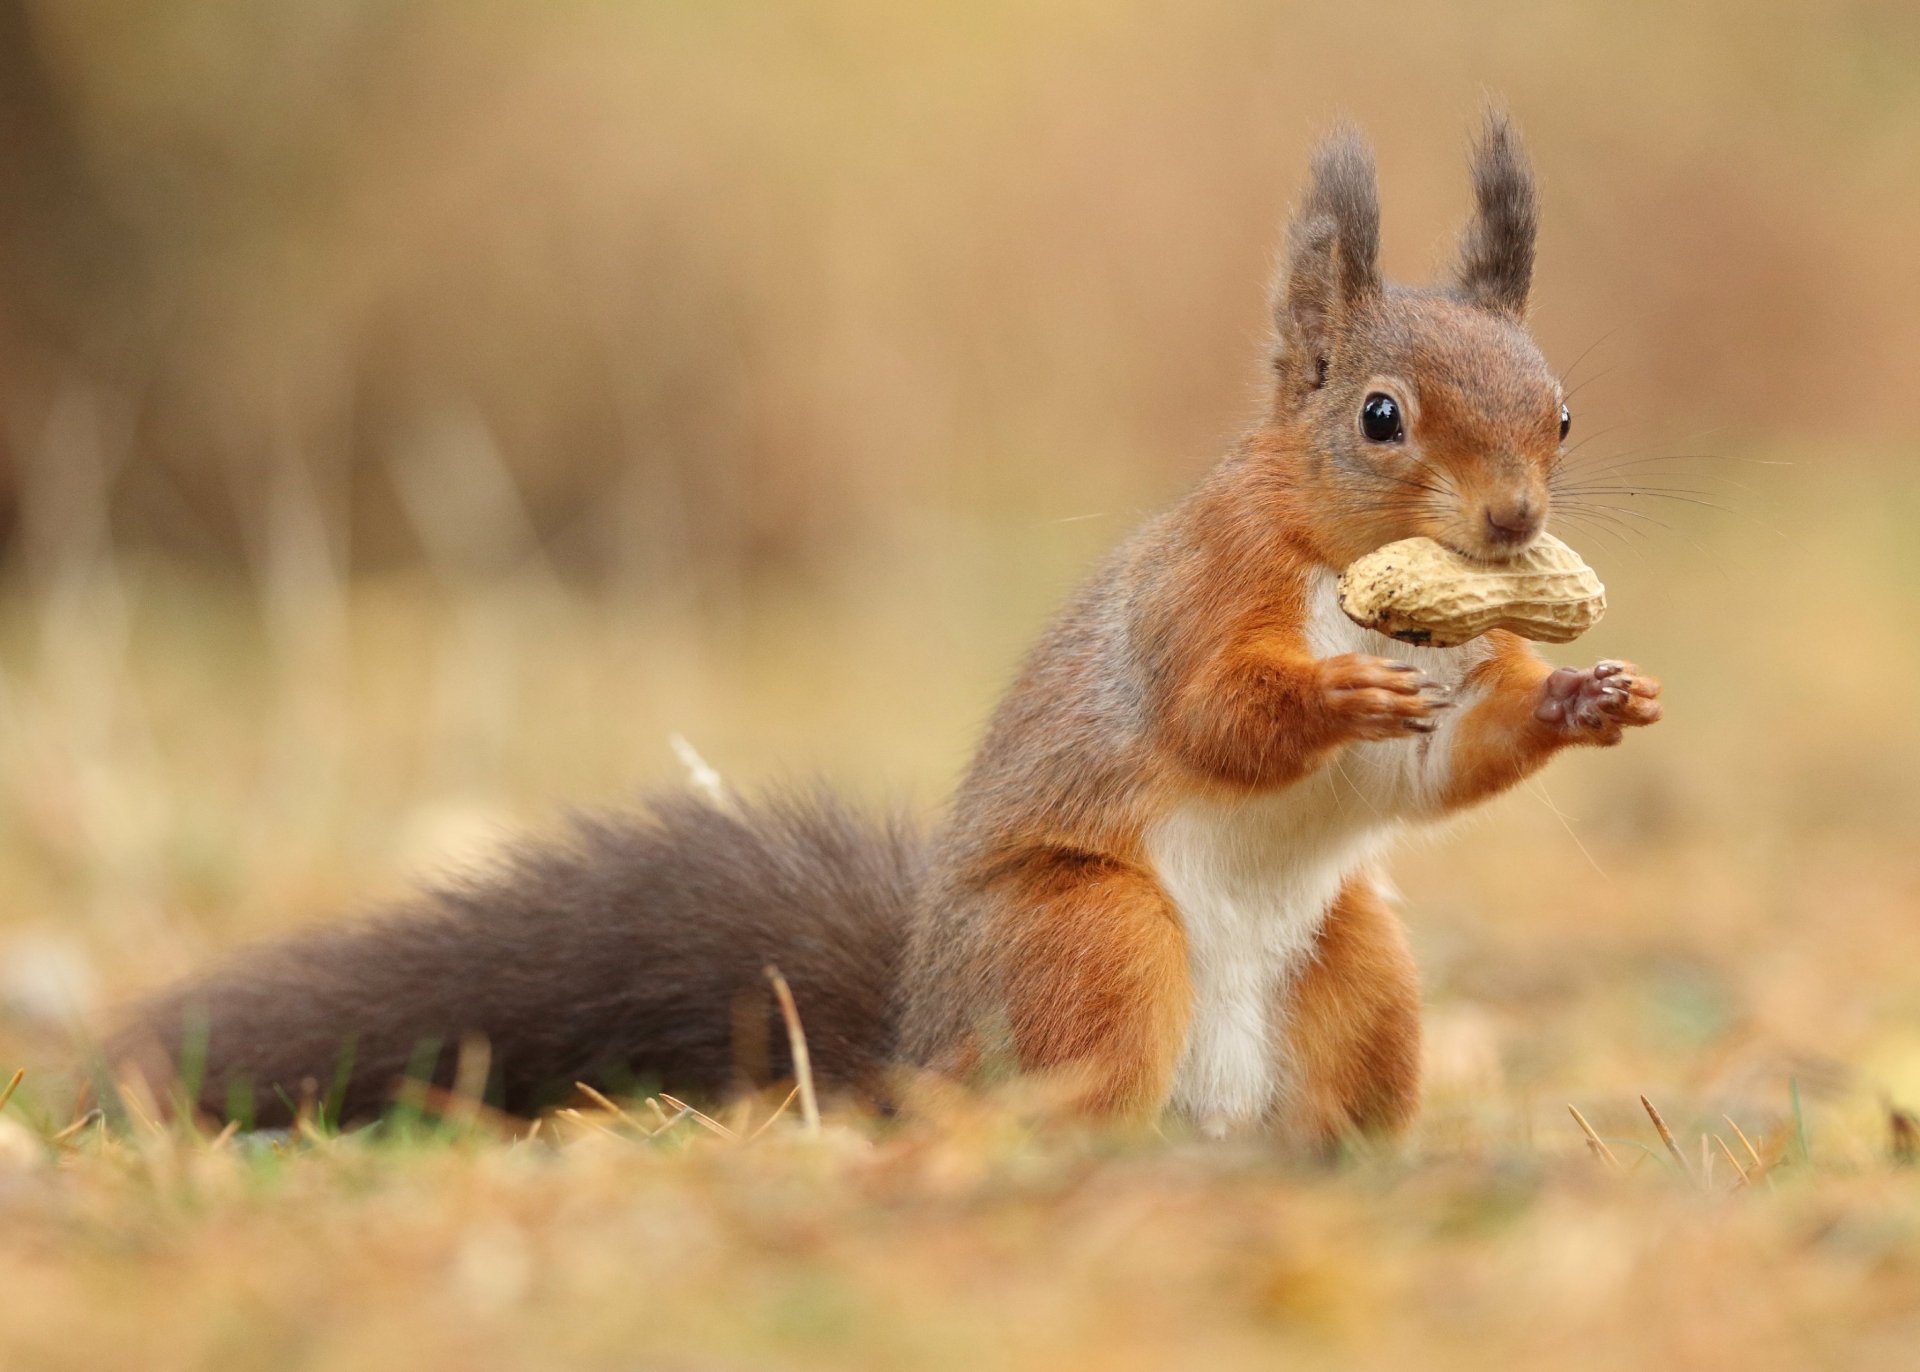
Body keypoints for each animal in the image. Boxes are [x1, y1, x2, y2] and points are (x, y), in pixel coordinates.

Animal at [109, 113, 1661, 1144]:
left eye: (1562, 411)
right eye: (1381, 417)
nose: (1514, 522)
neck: (1365, 592)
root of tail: (921, 1052)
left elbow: (1449, 760)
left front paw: (1590, 700)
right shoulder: (1197, 596)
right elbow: (1213, 714)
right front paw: (1333, 701)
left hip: (1361, 972)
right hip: (1084, 939)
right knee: (1060, 1086)